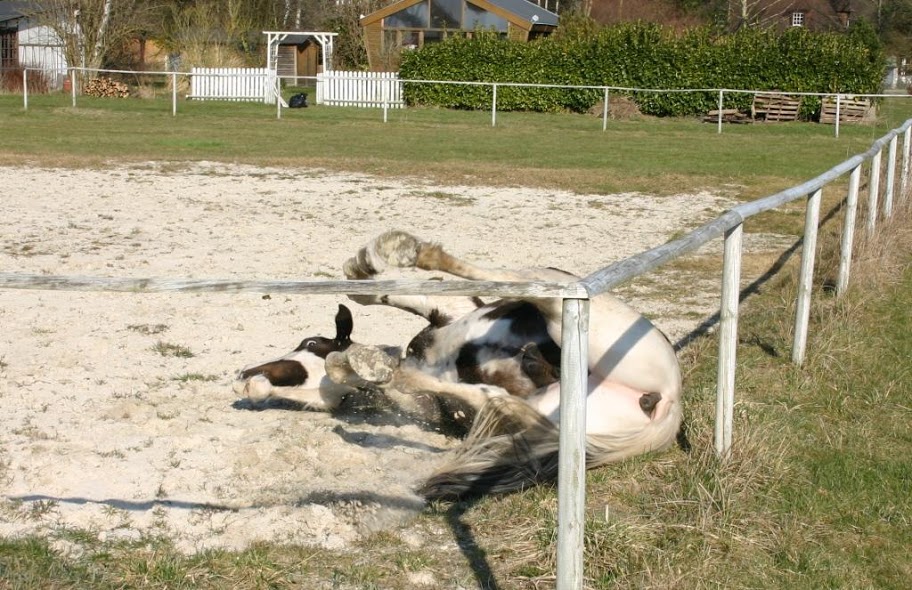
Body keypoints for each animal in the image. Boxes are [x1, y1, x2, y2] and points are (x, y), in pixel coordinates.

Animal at [232, 231, 680, 500]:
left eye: (309, 342)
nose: (244, 376)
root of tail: (669, 405)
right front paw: (363, 366)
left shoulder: (452, 310)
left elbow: (389, 295)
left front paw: (366, 269)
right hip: (555, 409)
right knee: (494, 397)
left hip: (561, 307)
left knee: (526, 283)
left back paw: (407, 250)